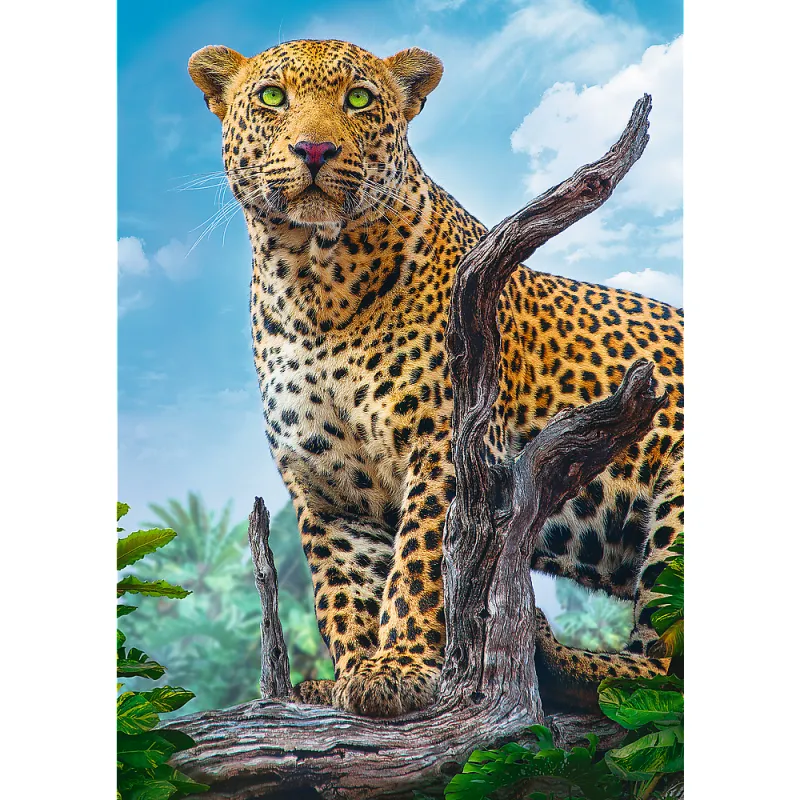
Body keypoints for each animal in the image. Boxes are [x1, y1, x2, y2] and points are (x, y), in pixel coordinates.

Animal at [188, 38, 684, 718]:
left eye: (359, 98)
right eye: (271, 97)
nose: (314, 150)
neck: (313, 283)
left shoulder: (448, 445)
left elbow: (423, 563)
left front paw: (399, 666)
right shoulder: (325, 486)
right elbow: (343, 588)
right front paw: (349, 675)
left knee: (663, 667)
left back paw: (553, 655)